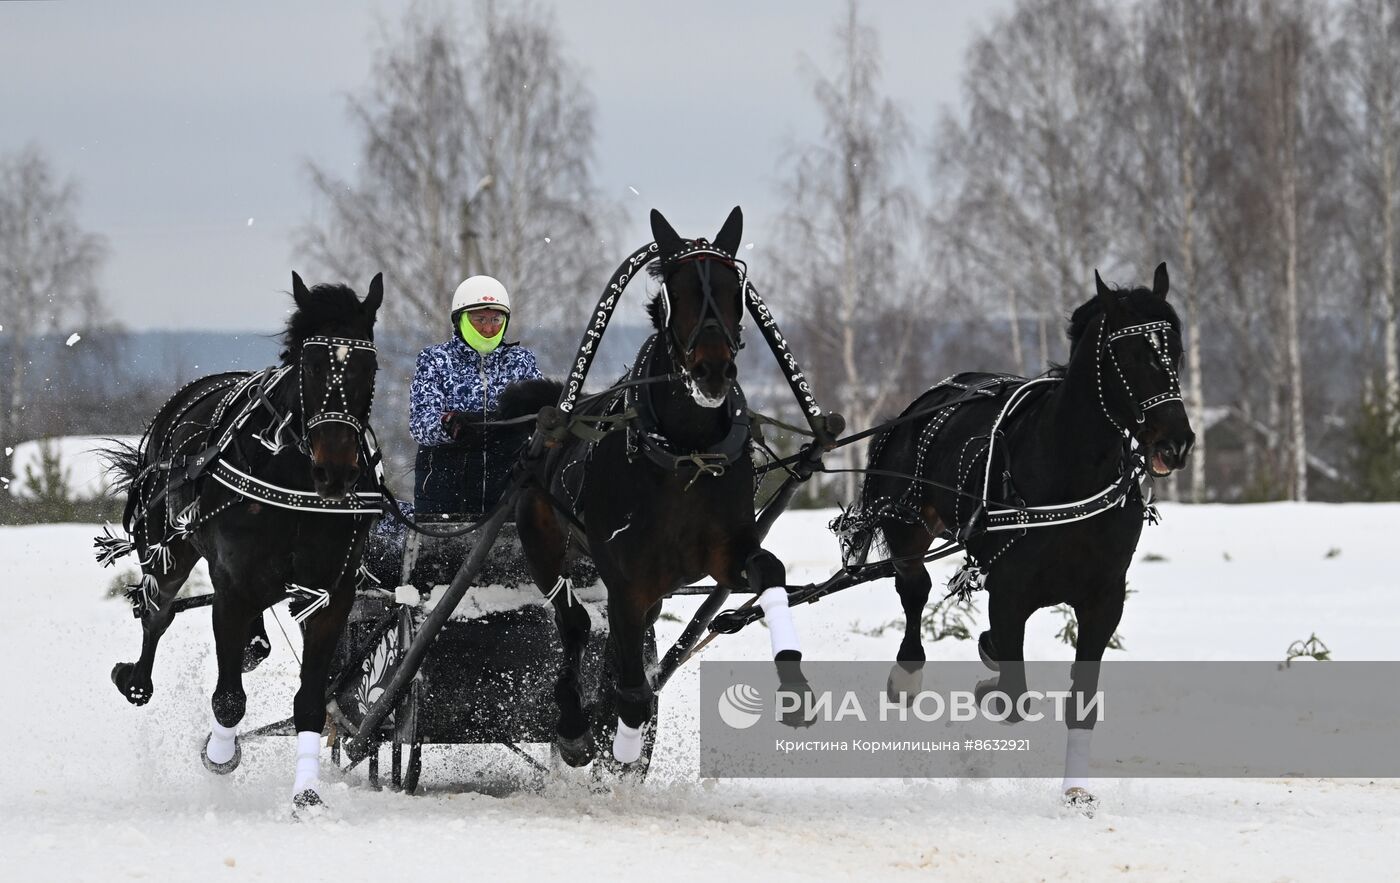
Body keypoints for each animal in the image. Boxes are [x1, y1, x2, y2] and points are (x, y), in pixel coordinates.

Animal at [99, 271, 386, 817]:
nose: (336, 472)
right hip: (167, 548)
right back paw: (138, 679)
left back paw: (253, 644)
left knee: (249, 640)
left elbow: (311, 701)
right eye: (311, 365)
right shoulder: (232, 586)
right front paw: (219, 754)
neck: (292, 478)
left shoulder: (329, 594)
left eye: (368, 365)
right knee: (157, 611)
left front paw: (307, 795)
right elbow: (228, 699)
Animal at [504, 205, 812, 766]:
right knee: (573, 623)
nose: (713, 369)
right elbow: (628, 685)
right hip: (541, 540)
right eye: (678, 288)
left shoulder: (725, 553)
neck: (682, 457)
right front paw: (623, 746)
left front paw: (794, 682)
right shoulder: (627, 580)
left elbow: (770, 570)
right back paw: (576, 726)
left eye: (734, 288)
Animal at [840, 263, 1192, 806]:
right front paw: (989, 683)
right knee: (913, 586)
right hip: (907, 524)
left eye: (1175, 351)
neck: (1070, 474)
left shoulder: (1104, 598)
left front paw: (1076, 792)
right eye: (1131, 354)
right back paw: (907, 674)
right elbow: (1013, 698)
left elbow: (1081, 700)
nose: (1176, 443)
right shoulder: (1008, 591)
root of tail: (932, 397)